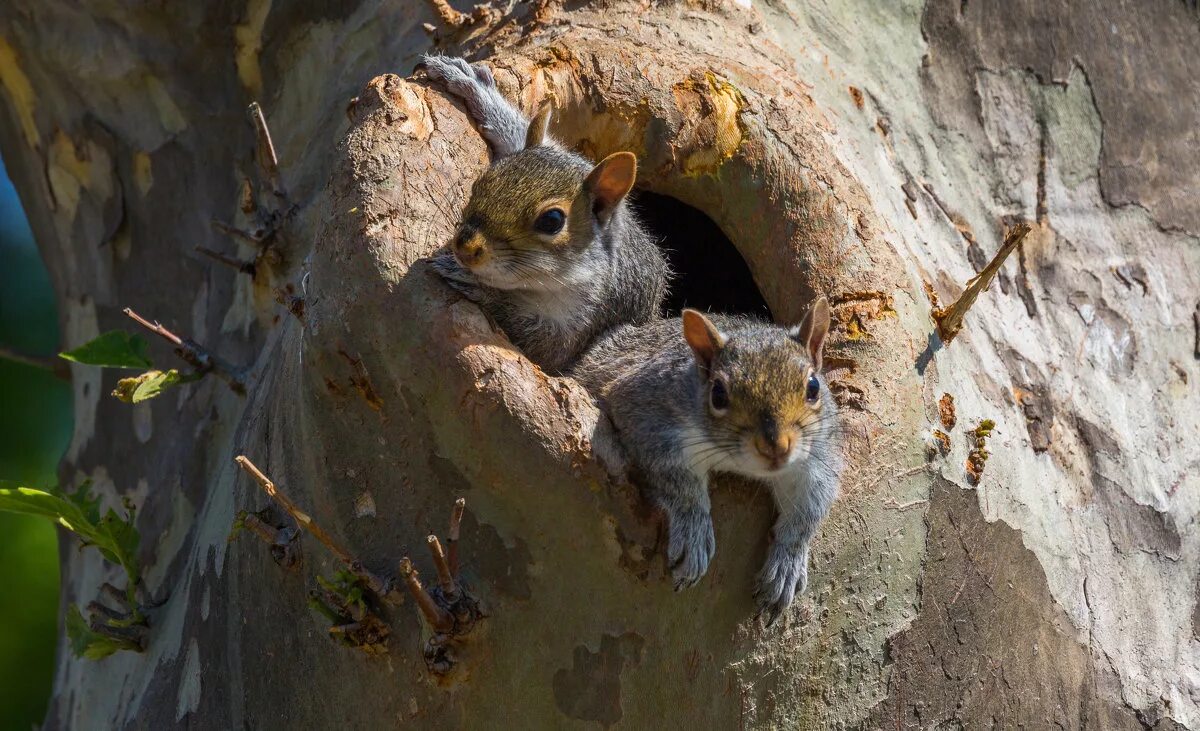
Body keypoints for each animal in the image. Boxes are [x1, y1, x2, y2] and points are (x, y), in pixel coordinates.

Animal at [422, 56, 672, 374]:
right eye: (481, 182)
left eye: (552, 221)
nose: (465, 248)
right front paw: (475, 88)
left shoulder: (586, 322)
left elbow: (544, 346)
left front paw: (481, 287)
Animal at [573, 296, 844, 619]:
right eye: (718, 394)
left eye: (813, 387)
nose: (776, 447)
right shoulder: (645, 412)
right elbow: (677, 481)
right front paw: (694, 531)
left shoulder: (817, 456)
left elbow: (809, 507)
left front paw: (787, 563)